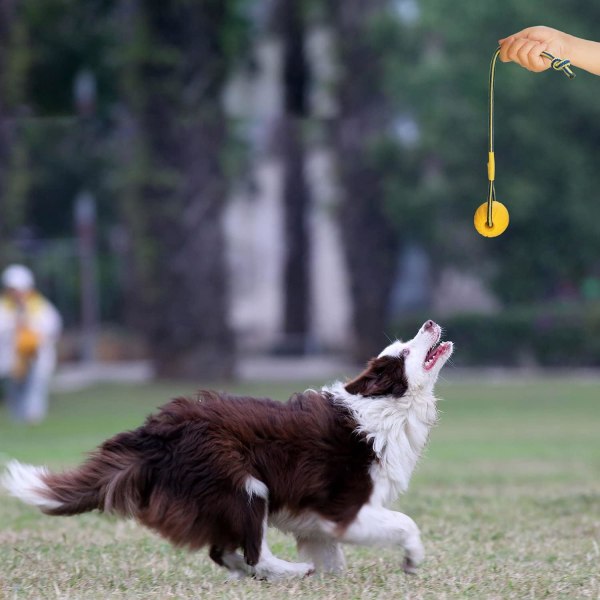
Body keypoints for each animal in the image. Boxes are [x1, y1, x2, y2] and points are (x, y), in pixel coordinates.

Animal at [1, 322, 450, 580]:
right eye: (404, 352)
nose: (429, 322)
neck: (387, 407)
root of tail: (154, 433)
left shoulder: (315, 521)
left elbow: (332, 559)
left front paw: (333, 581)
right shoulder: (345, 508)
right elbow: (406, 523)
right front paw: (412, 560)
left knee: (224, 552)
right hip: (244, 484)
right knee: (251, 552)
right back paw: (290, 572)